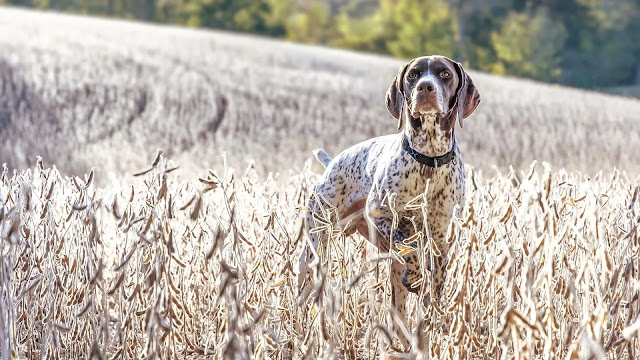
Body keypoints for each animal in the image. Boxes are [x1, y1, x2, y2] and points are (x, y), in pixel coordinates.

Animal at [298, 54, 480, 334]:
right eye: (413, 75)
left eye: (445, 74)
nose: (425, 87)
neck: (428, 160)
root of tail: (333, 163)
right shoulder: (381, 215)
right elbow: (408, 246)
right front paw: (414, 277)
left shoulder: (441, 241)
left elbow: (433, 290)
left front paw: (432, 322)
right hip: (314, 247)